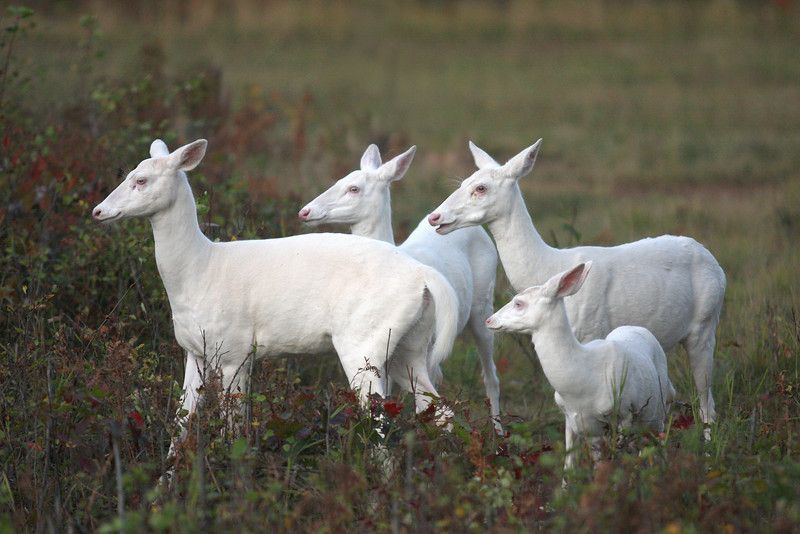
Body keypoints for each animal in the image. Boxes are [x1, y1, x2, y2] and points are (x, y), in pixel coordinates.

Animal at [90, 139, 460, 460]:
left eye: (141, 180)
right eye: (128, 173)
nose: (98, 211)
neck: (200, 270)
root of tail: (426, 277)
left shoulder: (235, 350)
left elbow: (233, 428)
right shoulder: (194, 351)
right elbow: (180, 423)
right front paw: (165, 483)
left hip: (363, 341)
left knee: (381, 422)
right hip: (408, 347)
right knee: (438, 410)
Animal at [296, 146, 504, 436]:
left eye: (353, 188)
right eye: (338, 180)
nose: (305, 211)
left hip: (482, 305)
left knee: (490, 375)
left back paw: (499, 434)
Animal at [432, 139, 724, 432]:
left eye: (481, 188)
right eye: (463, 181)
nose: (435, 217)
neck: (550, 265)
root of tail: (718, 267)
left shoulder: (592, 330)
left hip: (705, 324)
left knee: (707, 401)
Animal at [488, 262, 676, 476]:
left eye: (519, 303)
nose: (489, 320)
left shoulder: (625, 411)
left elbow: (622, 461)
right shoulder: (574, 419)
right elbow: (574, 465)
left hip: (657, 412)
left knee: (656, 445)